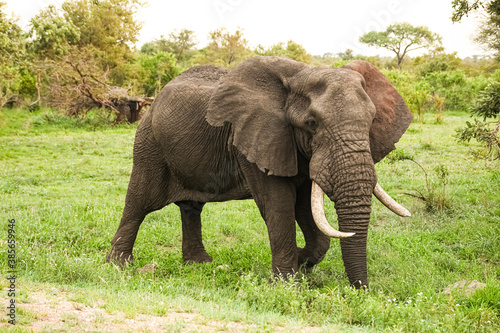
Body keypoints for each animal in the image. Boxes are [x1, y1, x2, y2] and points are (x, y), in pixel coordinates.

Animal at [106, 55, 414, 286]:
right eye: (312, 123)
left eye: (372, 120)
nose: (360, 290)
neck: (301, 73)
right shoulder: (254, 137)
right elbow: (279, 204)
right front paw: (288, 283)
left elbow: (304, 208)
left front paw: (301, 261)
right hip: (149, 143)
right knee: (140, 201)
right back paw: (119, 265)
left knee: (191, 207)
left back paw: (198, 264)